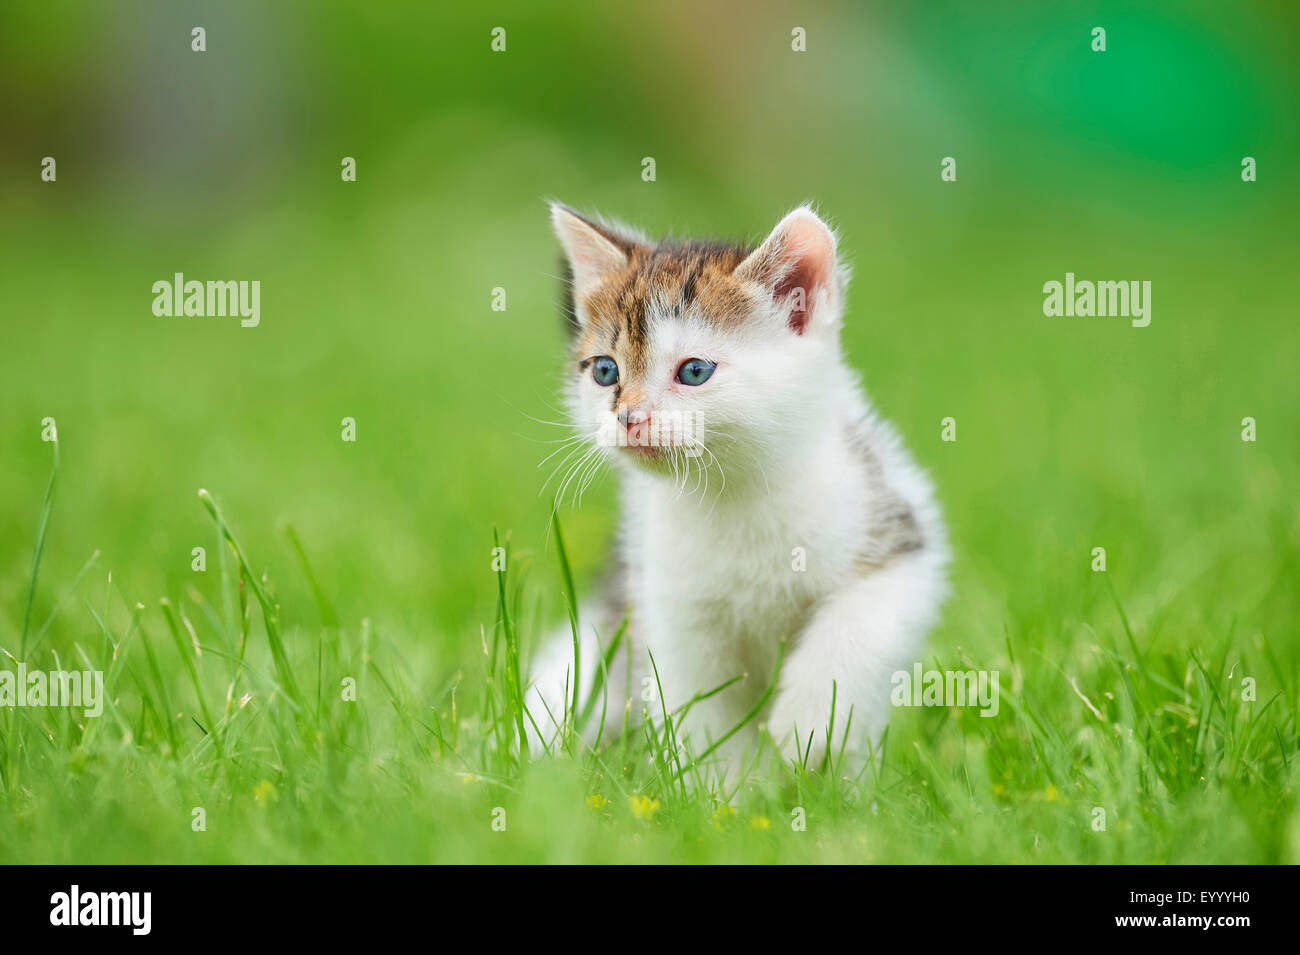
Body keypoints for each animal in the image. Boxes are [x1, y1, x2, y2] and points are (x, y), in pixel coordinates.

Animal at [522, 203, 951, 779]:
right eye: (606, 371)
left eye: (694, 371)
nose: (629, 418)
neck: (733, 493)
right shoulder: (670, 604)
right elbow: (701, 707)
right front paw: (726, 790)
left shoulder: (894, 533)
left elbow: (857, 627)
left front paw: (810, 724)